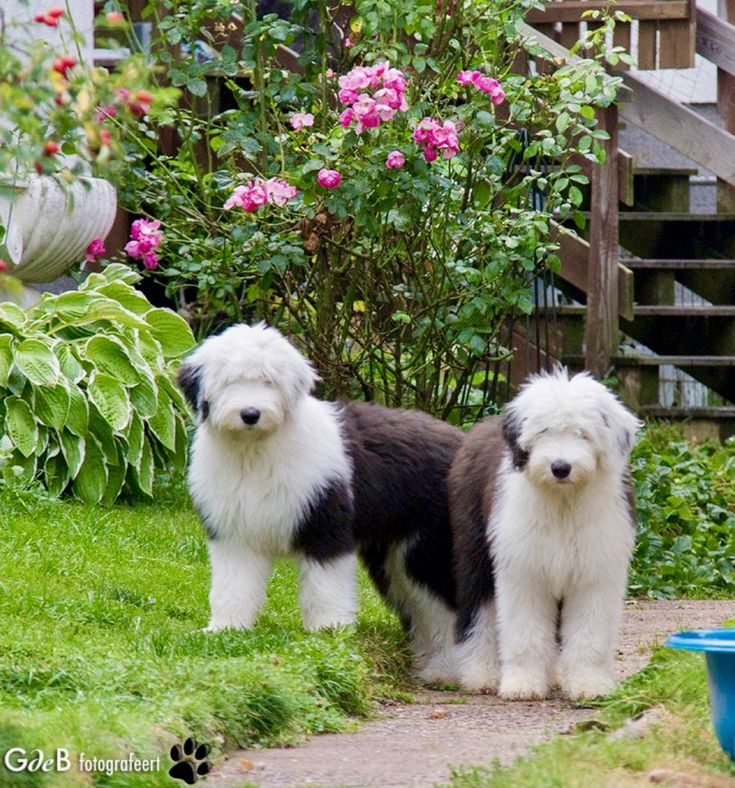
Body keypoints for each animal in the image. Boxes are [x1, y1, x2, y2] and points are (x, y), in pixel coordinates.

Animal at [178, 324, 462, 680]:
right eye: (230, 381)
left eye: (269, 381)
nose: (251, 414)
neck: (255, 449)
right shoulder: (234, 534)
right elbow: (233, 585)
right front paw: (225, 628)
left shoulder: (325, 522)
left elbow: (325, 587)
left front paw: (329, 632)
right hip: (397, 560)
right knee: (427, 608)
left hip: (430, 550)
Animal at [452, 370, 640, 700]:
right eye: (544, 431)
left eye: (582, 433)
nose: (560, 467)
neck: (563, 502)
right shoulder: (524, 573)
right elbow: (525, 633)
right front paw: (523, 684)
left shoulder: (594, 574)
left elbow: (589, 635)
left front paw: (589, 684)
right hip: (474, 552)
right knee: (477, 612)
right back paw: (481, 674)